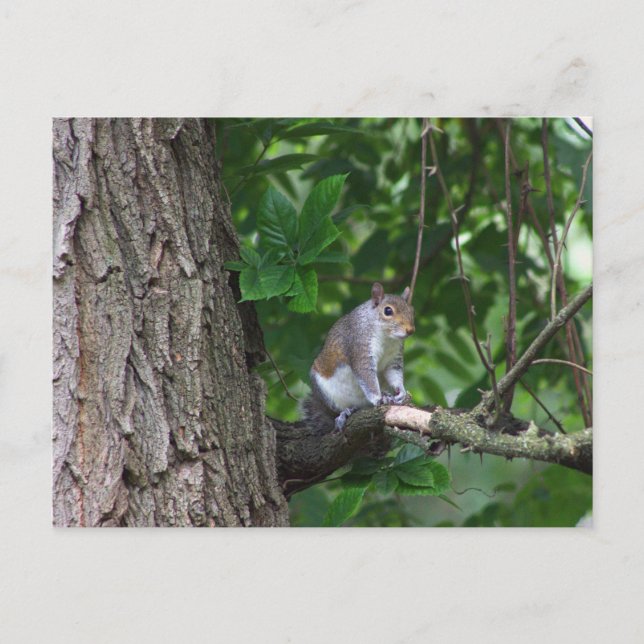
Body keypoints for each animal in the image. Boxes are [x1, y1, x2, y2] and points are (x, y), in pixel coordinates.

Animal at [302, 282, 415, 433]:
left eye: (412, 310)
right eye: (388, 311)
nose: (410, 330)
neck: (387, 337)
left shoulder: (394, 359)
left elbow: (394, 373)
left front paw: (400, 391)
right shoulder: (360, 346)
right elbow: (366, 375)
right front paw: (378, 398)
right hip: (327, 394)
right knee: (340, 409)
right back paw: (345, 413)